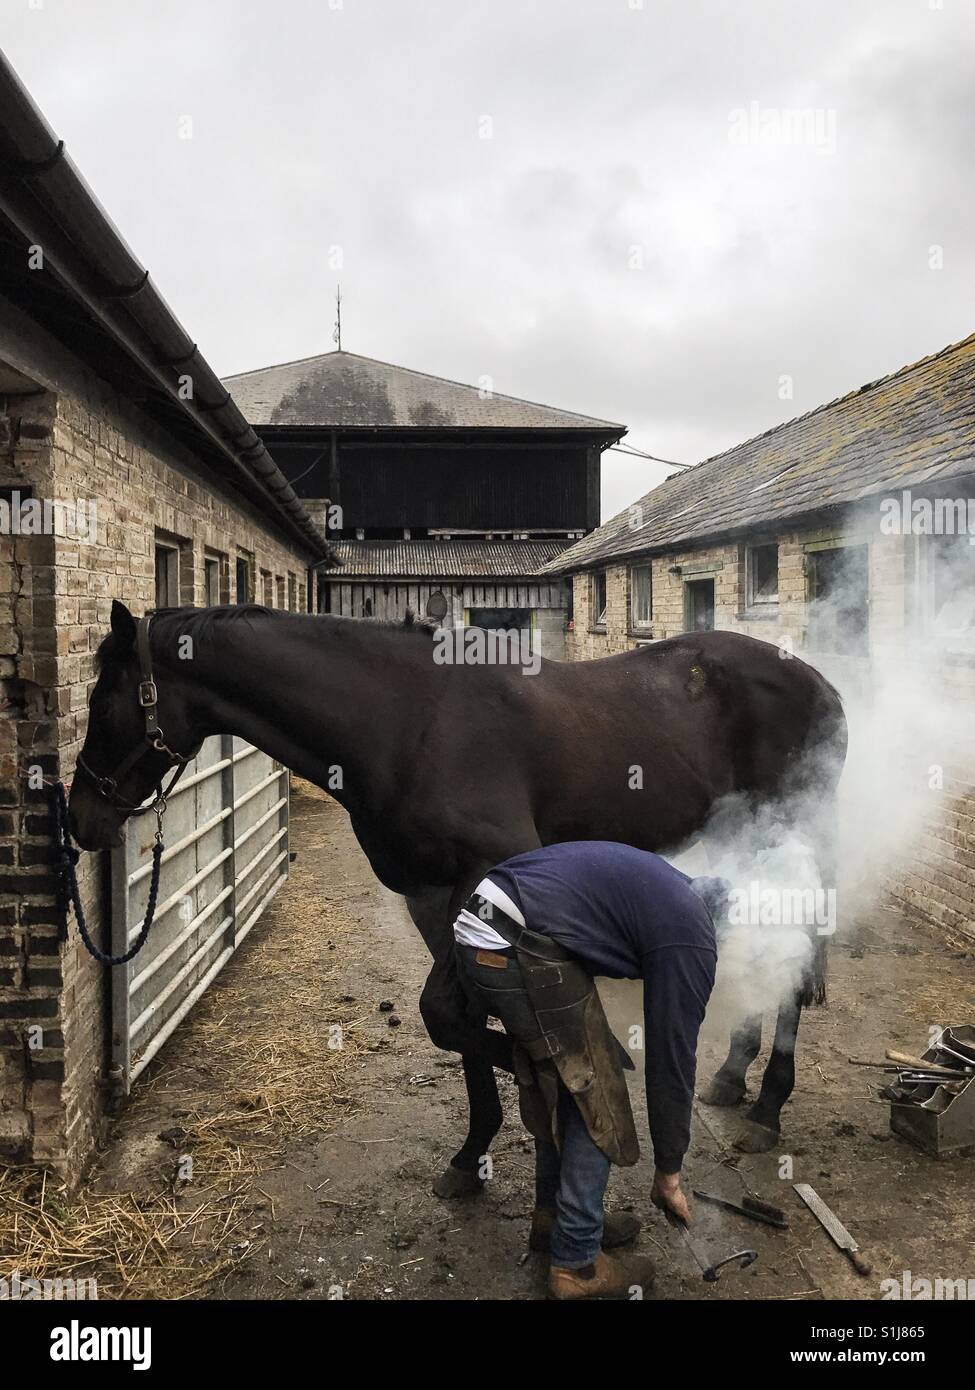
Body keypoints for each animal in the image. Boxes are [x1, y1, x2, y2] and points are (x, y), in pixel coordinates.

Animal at [69, 600, 847, 1196]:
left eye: (102, 704)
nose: (83, 818)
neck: (405, 722)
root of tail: (820, 683)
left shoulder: (490, 880)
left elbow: (461, 1015)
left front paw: (582, 1081)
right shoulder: (430, 895)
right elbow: (455, 1019)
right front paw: (473, 1155)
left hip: (792, 831)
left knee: (801, 941)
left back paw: (768, 1104)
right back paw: (732, 1075)